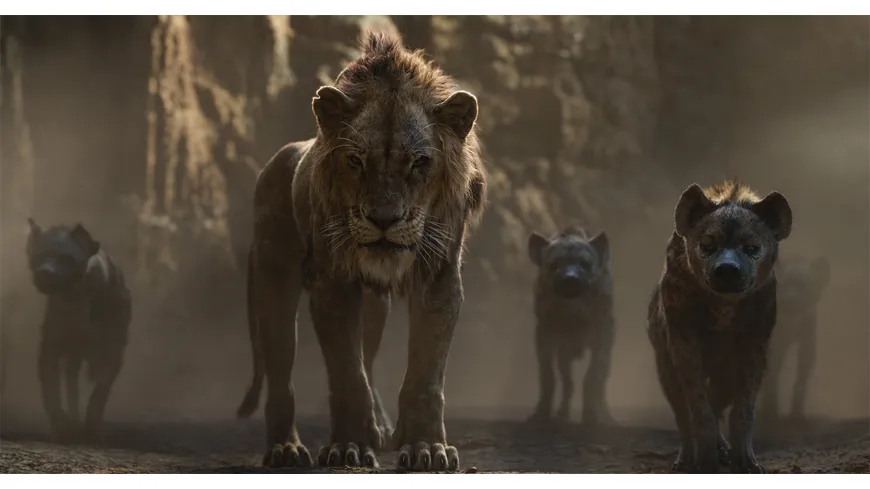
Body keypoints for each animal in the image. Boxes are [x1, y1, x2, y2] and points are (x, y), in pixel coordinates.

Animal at [235, 31, 487, 473]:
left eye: (419, 162)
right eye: (355, 160)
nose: (384, 219)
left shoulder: (439, 279)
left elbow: (424, 375)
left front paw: (426, 449)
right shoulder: (333, 284)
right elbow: (347, 375)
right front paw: (348, 446)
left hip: (374, 306)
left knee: (368, 357)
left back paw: (382, 427)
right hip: (274, 279)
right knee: (282, 371)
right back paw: (285, 449)